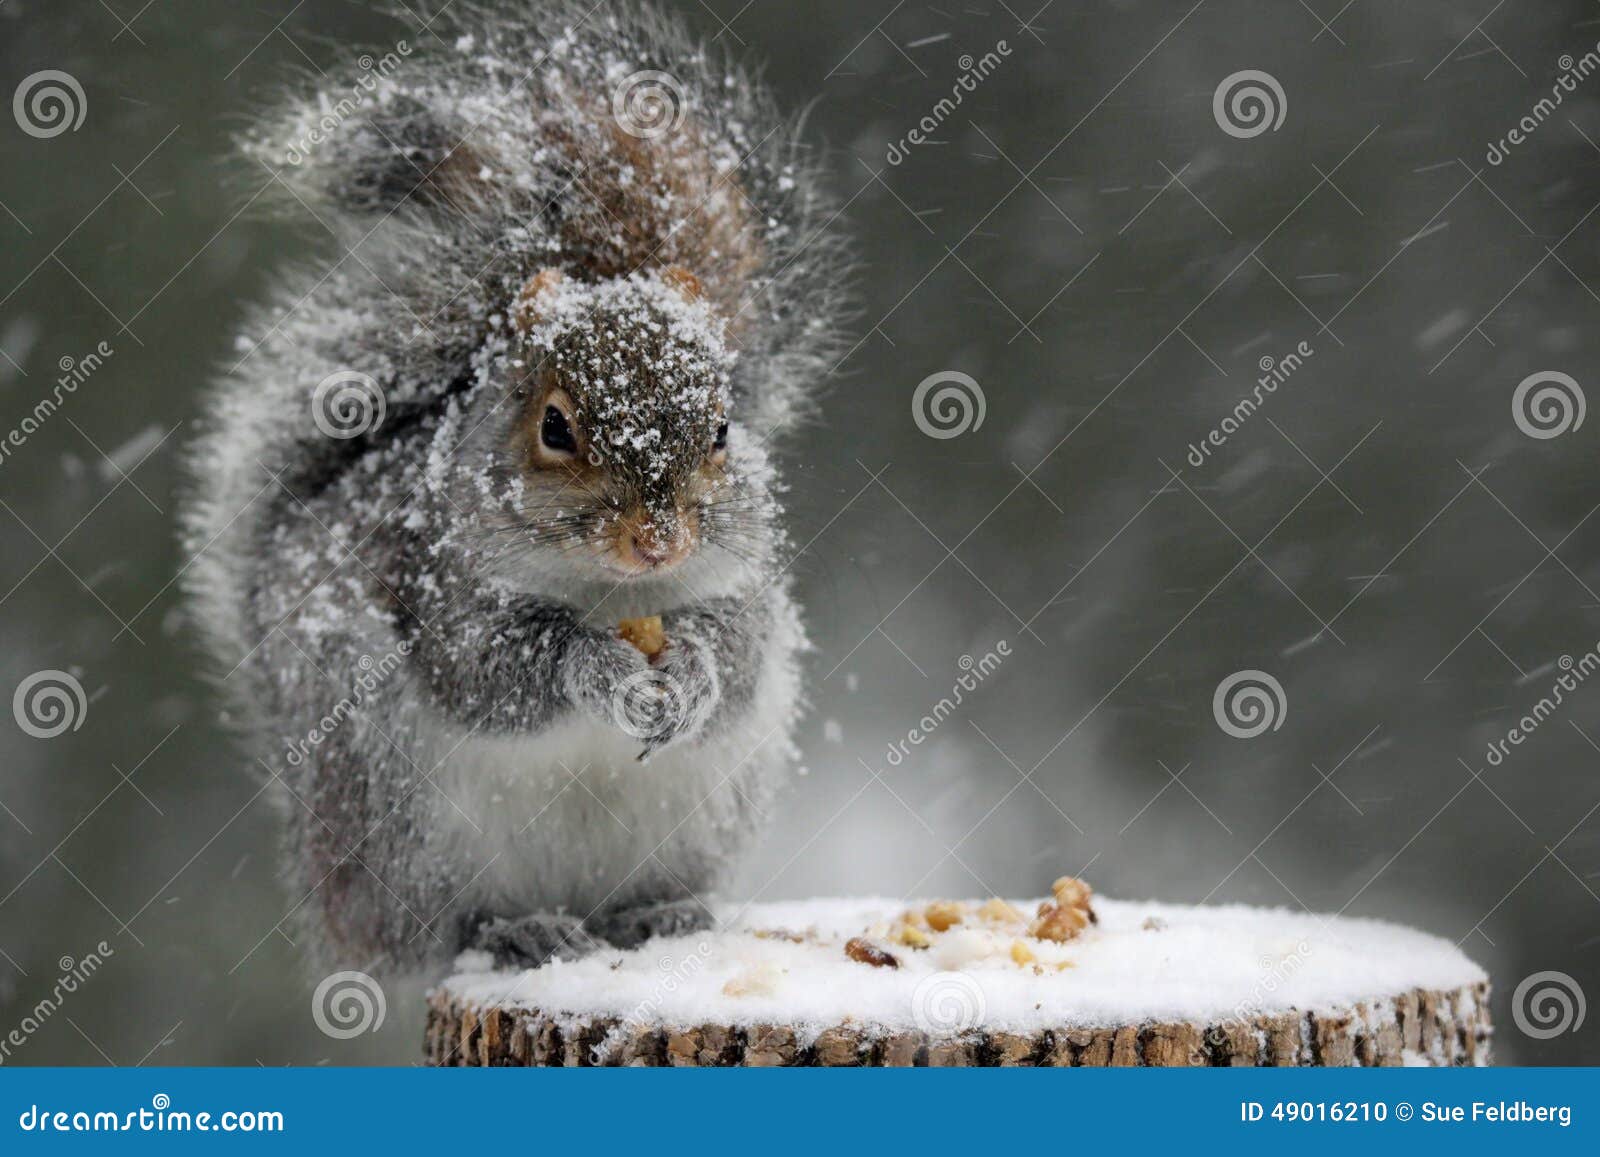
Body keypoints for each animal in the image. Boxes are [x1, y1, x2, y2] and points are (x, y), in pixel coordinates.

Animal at [180, 2, 844, 979]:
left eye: (723, 429)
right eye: (555, 427)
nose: (658, 541)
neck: (614, 594)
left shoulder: (744, 588)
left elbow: (739, 651)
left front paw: (689, 671)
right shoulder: (437, 585)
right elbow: (491, 668)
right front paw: (597, 669)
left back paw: (660, 913)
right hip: (388, 821)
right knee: (434, 937)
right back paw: (514, 929)